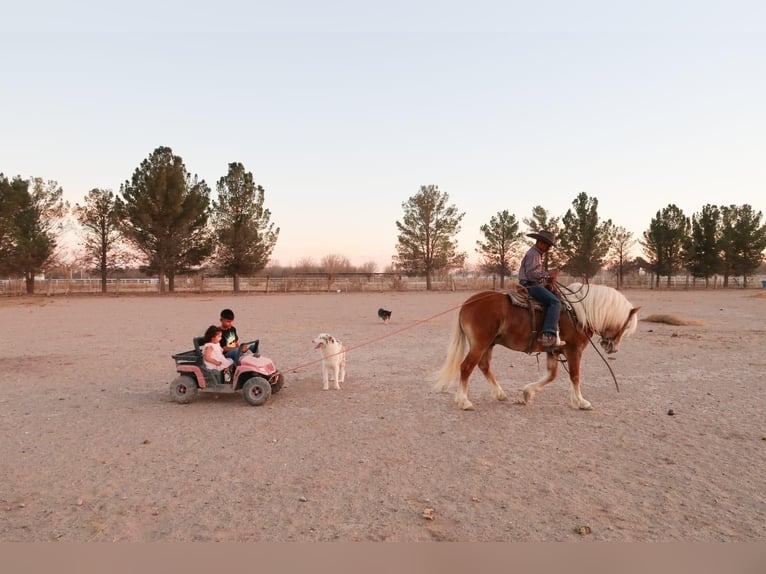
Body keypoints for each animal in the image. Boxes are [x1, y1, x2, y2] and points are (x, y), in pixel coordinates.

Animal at [438, 282, 640, 410]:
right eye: (626, 325)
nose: (612, 347)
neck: (579, 312)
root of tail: (467, 304)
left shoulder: (554, 350)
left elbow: (552, 375)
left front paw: (528, 392)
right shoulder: (574, 350)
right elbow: (575, 376)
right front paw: (581, 402)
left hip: (488, 344)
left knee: (484, 366)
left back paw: (499, 394)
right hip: (480, 344)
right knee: (466, 367)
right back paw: (463, 401)